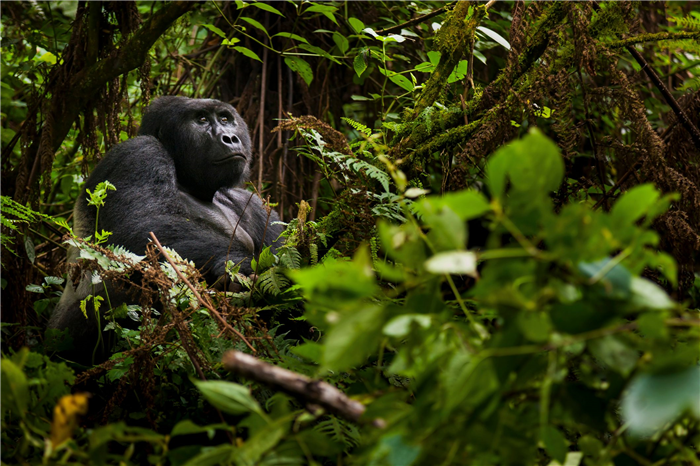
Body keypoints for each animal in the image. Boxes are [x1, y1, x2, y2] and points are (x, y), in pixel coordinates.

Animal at [48, 96, 284, 348]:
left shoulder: (250, 202)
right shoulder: (140, 152)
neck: (190, 184)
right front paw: (240, 264)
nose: (229, 137)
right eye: (201, 119)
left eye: (225, 119)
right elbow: (140, 227)